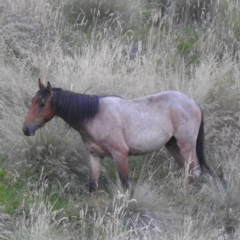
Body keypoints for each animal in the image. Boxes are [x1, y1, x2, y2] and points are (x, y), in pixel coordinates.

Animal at [23, 79, 210, 192]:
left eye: (42, 104)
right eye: (33, 101)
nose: (26, 129)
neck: (95, 116)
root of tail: (193, 103)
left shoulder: (120, 154)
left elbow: (126, 184)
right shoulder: (95, 156)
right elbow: (93, 185)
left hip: (186, 146)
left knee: (195, 171)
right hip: (173, 146)